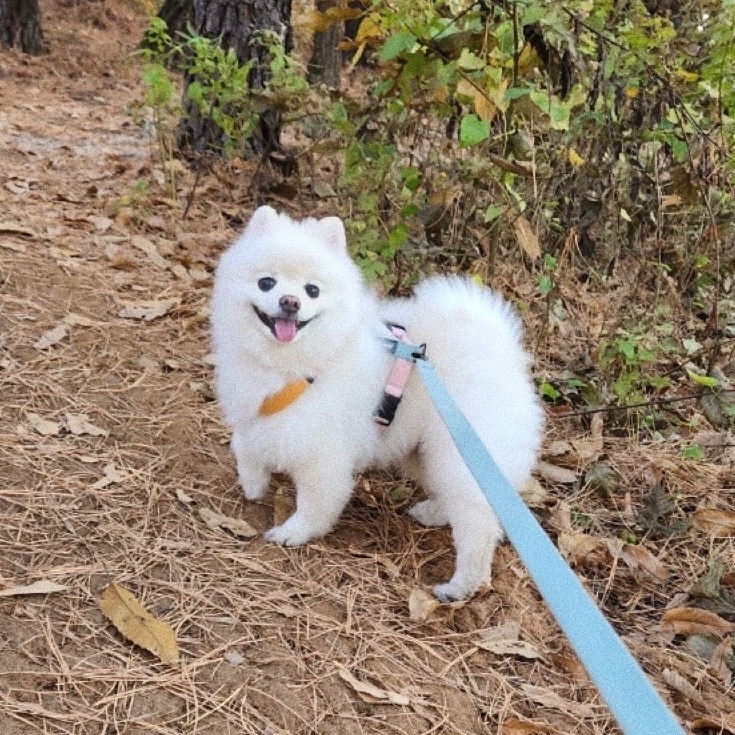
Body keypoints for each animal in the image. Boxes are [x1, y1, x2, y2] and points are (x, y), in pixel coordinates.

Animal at [210, 207, 544, 604]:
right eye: (266, 283)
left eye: (312, 290)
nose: (290, 302)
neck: (293, 363)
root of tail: (503, 351)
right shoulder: (256, 414)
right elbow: (245, 448)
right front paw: (254, 485)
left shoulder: (324, 454)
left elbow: (316, 502)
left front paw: (294, 531)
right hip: (426, 453)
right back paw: (433, 512)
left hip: (459, 453)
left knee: (478, 523)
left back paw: (460, 585)